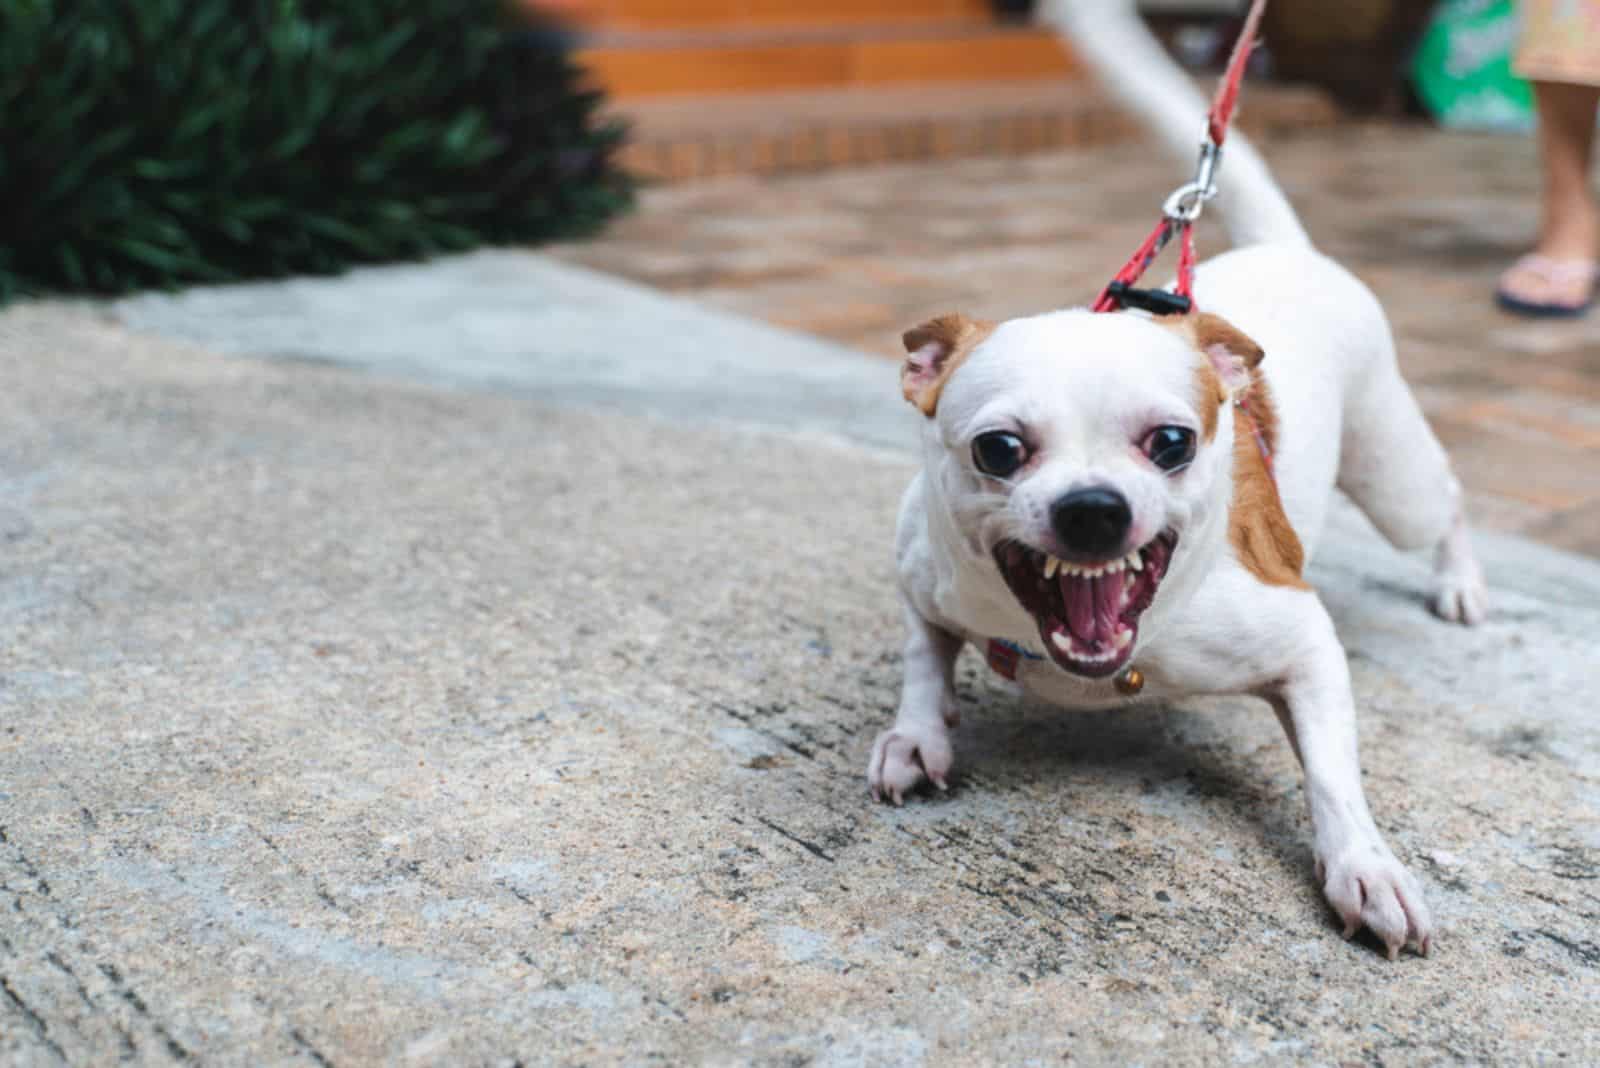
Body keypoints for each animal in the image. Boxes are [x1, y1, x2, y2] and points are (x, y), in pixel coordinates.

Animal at [864, 0, 1484, 959]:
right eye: (999, 450)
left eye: (1171, 442)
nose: (1092, 509)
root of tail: (1290, 250)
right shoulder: (919, 576)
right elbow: (922, 656)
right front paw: (917, 735)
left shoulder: (1303, 642)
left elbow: (1333, 776)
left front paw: (1365, 868)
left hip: (1393, 476)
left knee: (1444, 499)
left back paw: (1458, 582)